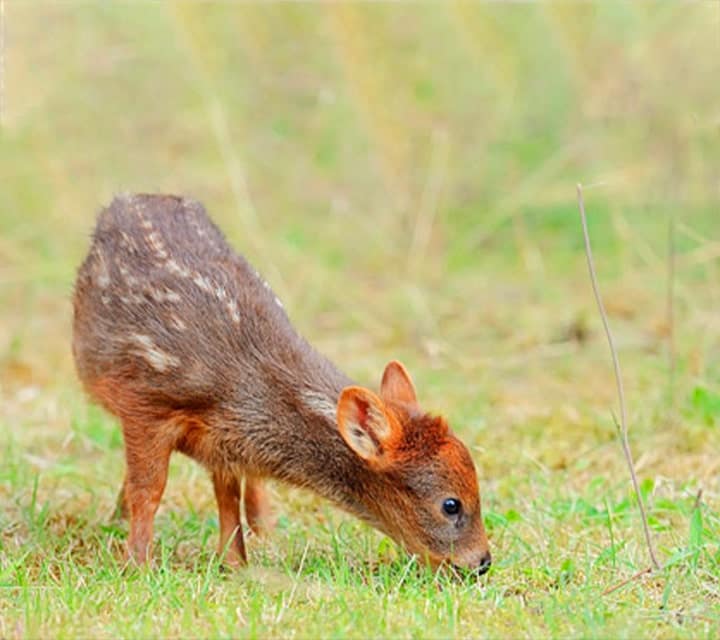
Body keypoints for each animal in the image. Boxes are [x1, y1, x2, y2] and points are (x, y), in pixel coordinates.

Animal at [71, 195, 490, 576]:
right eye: (451, 504)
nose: (483, 562)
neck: (241, 386)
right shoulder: (147, 400)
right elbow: (150, 489)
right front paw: (137, 565)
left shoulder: (222, 443)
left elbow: (228, 496)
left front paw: (235, 564)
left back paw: (265, 530)